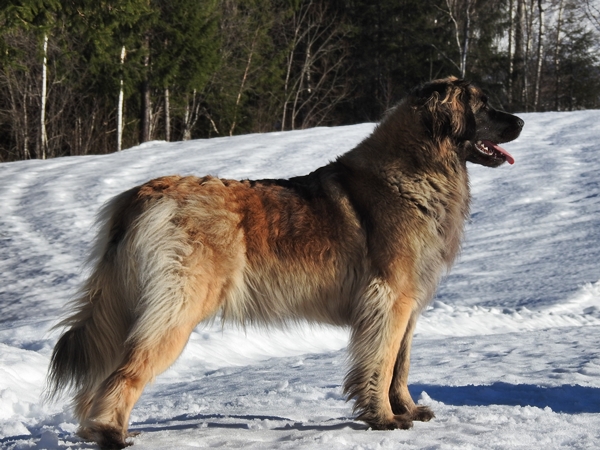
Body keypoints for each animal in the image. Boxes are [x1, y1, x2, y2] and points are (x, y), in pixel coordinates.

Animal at [47, 76, 524, 446]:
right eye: (483, 104)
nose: (520, 121)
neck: (419, 169)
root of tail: (143, 194)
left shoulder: (410, 304)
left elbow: (401, 366)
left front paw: (406, 409)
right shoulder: (390, 300)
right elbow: (383, 362)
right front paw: (385, 419)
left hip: (130, 305)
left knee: (103, 369)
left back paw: (93, 428)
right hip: (177, 308)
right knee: (126, 371)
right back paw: (111, 433)